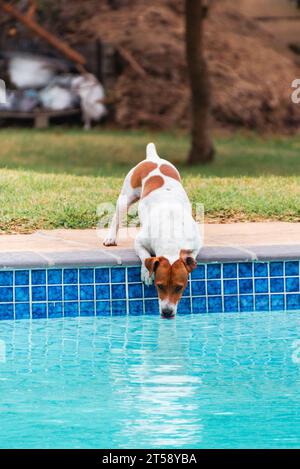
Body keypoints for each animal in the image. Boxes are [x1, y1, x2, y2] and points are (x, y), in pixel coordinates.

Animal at [104, 143, 203, 318]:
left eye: (179, 287)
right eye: (159, 285)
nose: (167, 312)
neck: (171, 239)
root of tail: (153, 158)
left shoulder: (196, 242)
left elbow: (192, 255)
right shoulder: (140, 241)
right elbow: (145, 256)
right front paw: (146, 273)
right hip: (126, 196)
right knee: (117, 216)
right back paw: (110, 237)